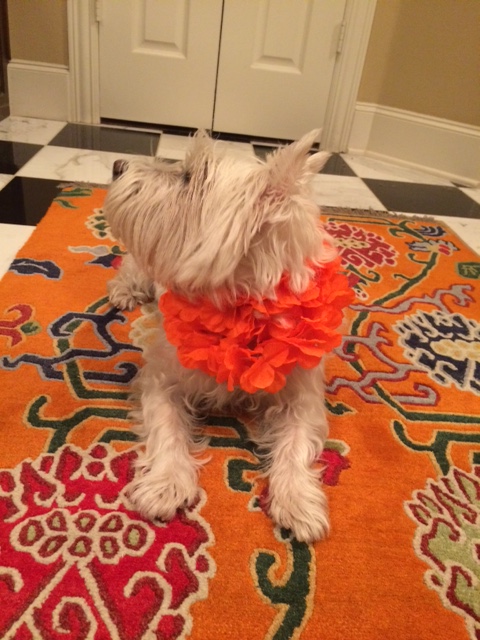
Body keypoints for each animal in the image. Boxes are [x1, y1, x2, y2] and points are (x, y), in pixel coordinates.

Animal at [104, 130, 352, 542]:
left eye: (188, 177)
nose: (117, 165)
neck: (242, 308)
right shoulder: (161, 380)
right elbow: (167, 428)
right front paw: (165, 484)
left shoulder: (302, 397)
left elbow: (297, 444)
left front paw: (298, 501)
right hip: (143, 265)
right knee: (131, 269)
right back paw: (124, 293)